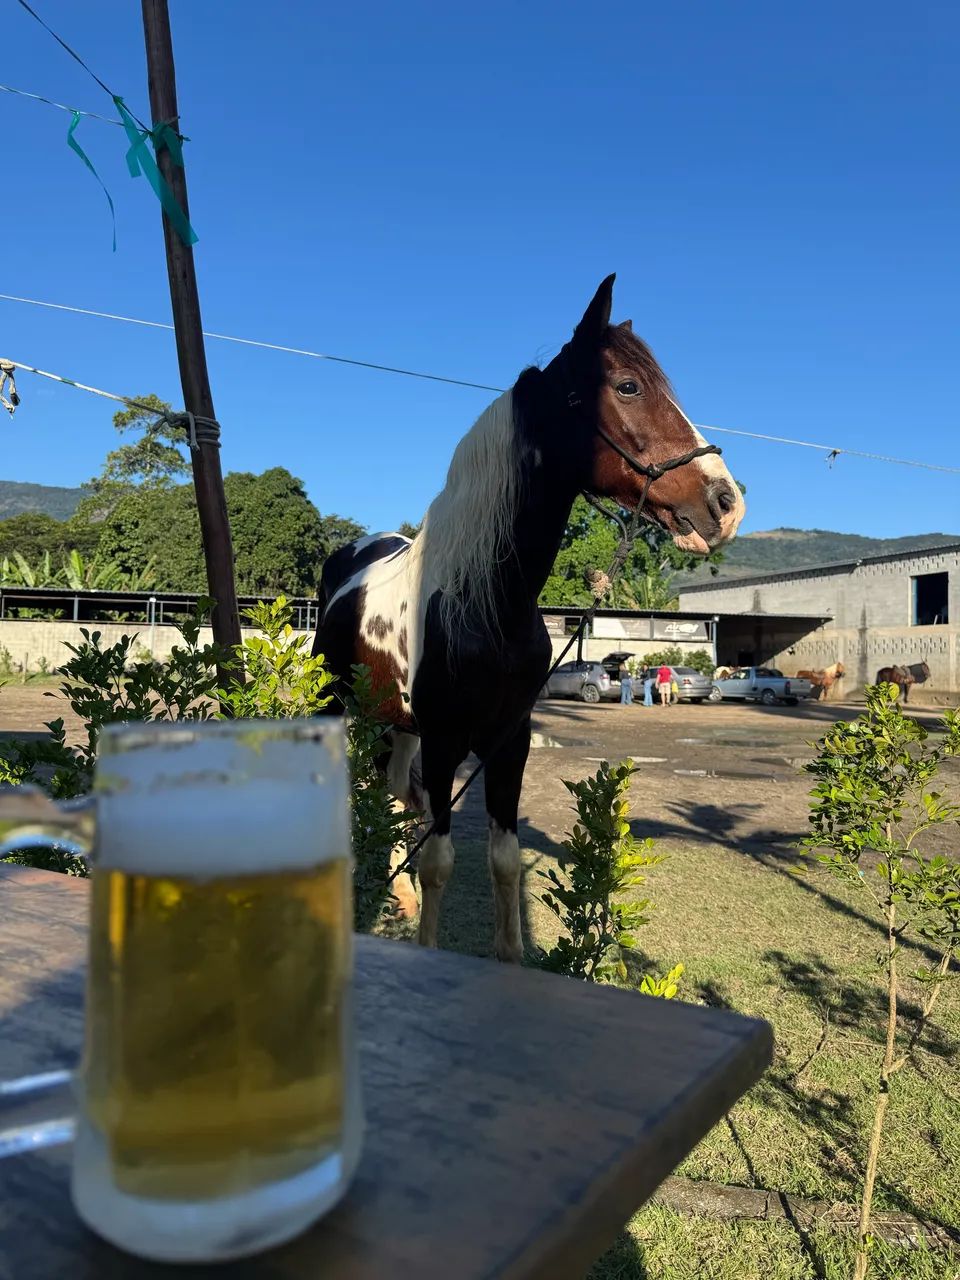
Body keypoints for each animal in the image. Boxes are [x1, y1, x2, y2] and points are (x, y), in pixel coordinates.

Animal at [313, 275, 745, 961]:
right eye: (628, 385)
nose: (726, 503)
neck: (487, 602)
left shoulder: (507, 741)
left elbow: (505, 862)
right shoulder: (446, 741)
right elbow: (440, 860)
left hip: (396, 726)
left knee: (396, 793)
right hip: (347, 712)